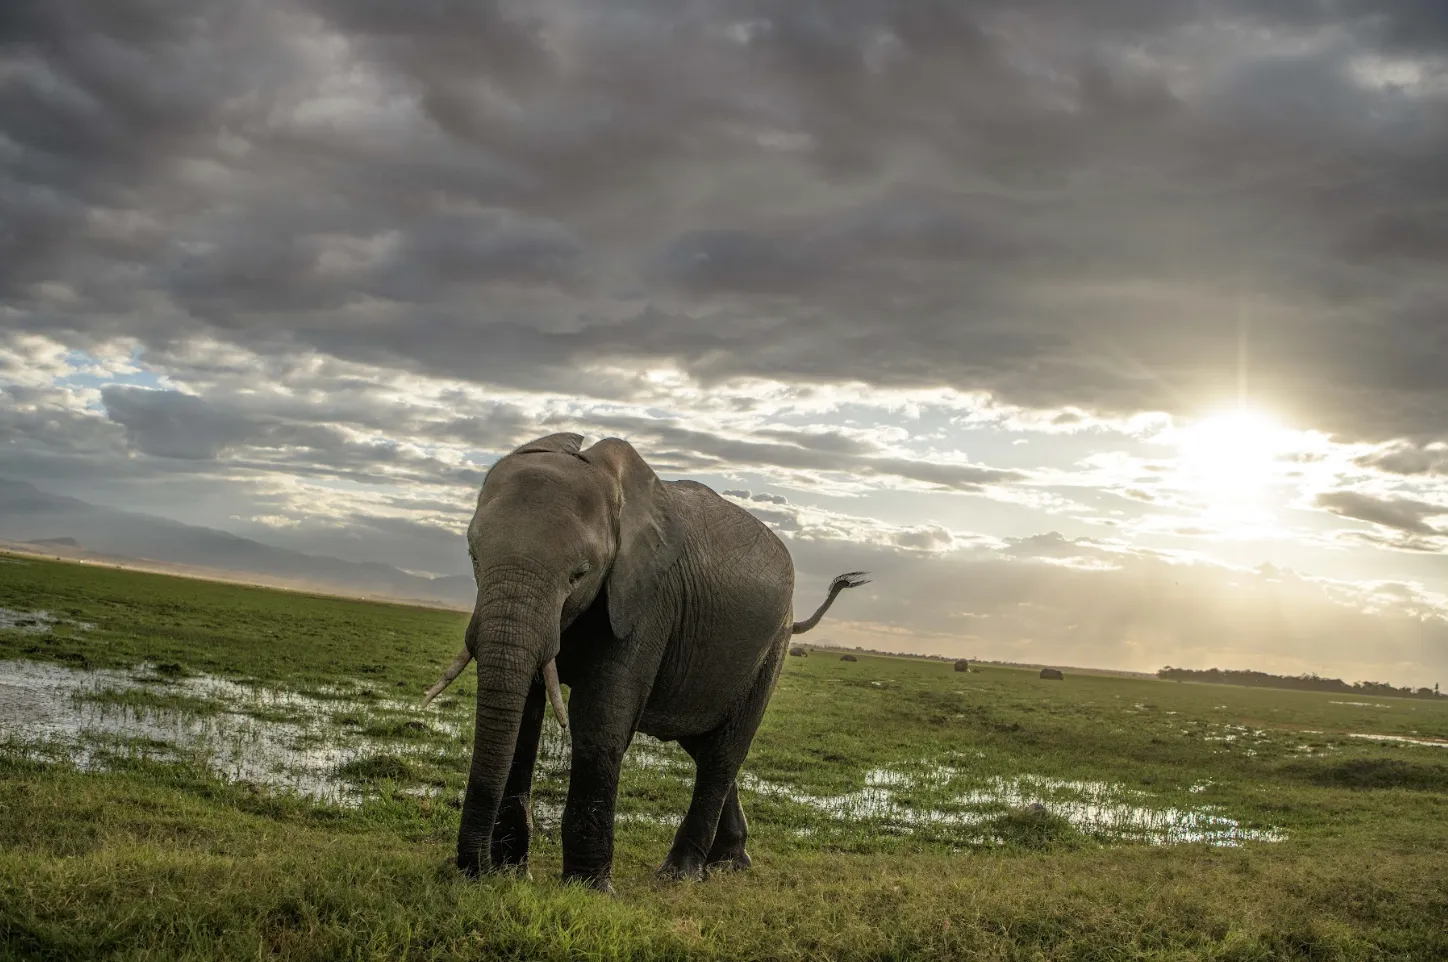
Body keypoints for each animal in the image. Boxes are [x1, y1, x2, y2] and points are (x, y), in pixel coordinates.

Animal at [422, 431, 863, 892]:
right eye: (473, 556)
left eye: (580, 573)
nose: (477, 872)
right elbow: (525, 710)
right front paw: (513, 872)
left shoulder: (649, 597)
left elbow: (600, 719)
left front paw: (588, 891)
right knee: (704, 747)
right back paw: (730, 864)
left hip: (770, 650)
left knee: (722, 755)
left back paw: (680, 875)